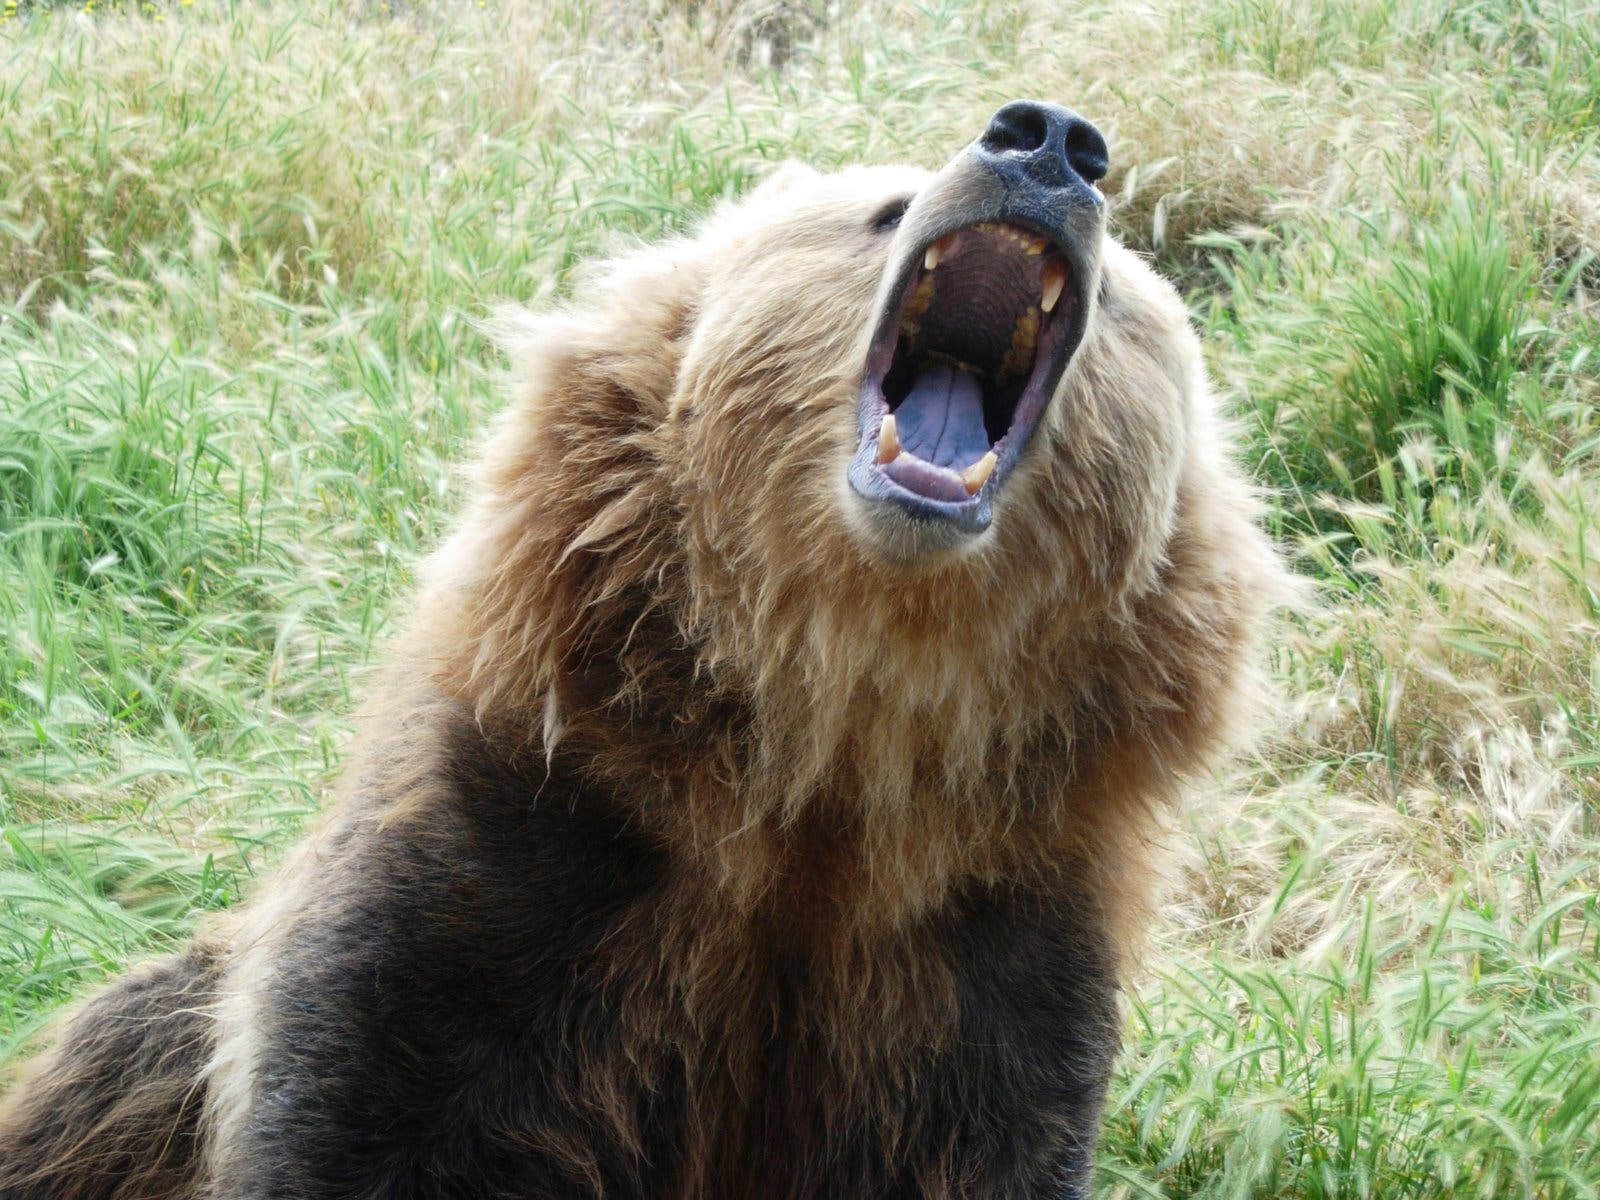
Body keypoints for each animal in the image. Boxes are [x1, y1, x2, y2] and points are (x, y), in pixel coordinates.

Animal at [0, 101, 1285, 1199]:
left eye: (1123, 302)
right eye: (883, 208)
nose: (1052, 142)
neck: (833, 728)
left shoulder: (985, 950)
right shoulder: (534, 834)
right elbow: (366, 1093)